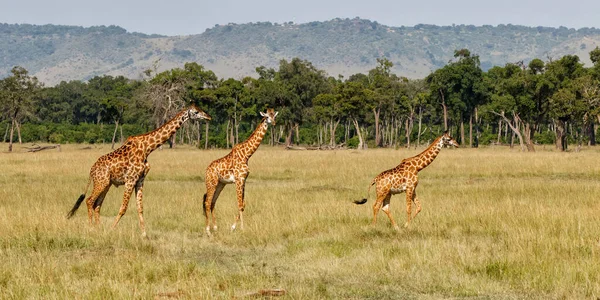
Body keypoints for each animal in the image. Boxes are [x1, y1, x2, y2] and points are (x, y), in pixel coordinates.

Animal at [65, 103, 210, 237]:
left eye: (201, 109)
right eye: (196, 112)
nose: (208, 117)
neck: (148, 148)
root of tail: (91, 170)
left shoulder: (140, 179)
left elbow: (140, 207)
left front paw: (144, 234)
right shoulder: (131, 179)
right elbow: (123, 207)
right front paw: (112, 229)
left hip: (106, 184)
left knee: (97, 205)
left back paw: (98, 228)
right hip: (101, 182)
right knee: (89, 201)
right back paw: (91, 228)